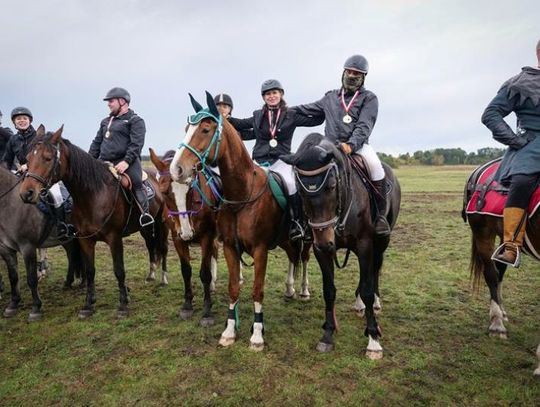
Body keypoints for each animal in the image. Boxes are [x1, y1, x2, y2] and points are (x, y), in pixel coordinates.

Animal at [0, 164, 83, 320]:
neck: (10, 203)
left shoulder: (28, 247)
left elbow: (31, 278)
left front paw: (36, 308)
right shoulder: (6, 249)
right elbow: (13, 277)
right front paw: (13, 304)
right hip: (65, 238)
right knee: (72, 255)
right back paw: (69, 282)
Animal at [18, 126, 167, 320]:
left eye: (48, 158)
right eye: (27, 158)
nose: (26, 193)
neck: (94, 194)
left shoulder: (114, 238)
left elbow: (119, 269)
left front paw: (123, 305)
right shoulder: (85, 239)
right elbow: (89, 271)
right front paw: (88, 304)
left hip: (160, 224)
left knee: (161, 247)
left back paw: (162, 278)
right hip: (145, 228)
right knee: (151, 245)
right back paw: (151, 274)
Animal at [171, 93, 310, 350]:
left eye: (205, 129)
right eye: (187, 128)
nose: (176, 169)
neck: (242, 195)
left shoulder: (260, 250)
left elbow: (257, 291)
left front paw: (257, 335)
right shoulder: (229, 248)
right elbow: (233, 288)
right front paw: (229, 331)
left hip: (308, 238)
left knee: (303, 258)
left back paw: (304, 290)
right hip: (284, 239)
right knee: (292, 256)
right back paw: (289, 288)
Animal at [278, 132, 400, 358]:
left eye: (331, 186)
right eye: (300, 190)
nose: (325, 240)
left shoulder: (365, 245)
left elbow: (368, 288)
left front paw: (373, 338)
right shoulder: (321, 251)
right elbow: (329, 290)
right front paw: (327, 334)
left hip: (381, 242)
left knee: (375, 269)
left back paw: (375, 303)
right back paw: (360, 305)